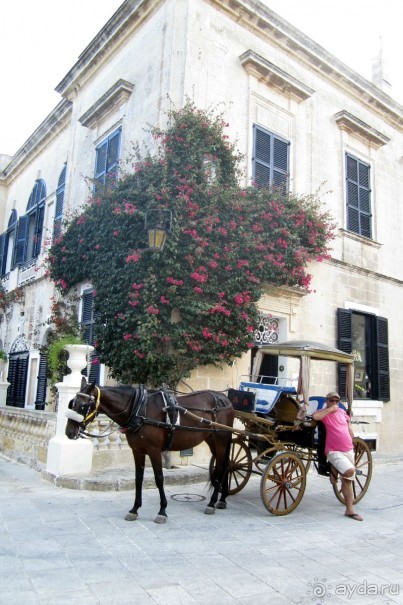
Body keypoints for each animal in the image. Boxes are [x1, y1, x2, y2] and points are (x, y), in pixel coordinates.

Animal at [65, 378, 237, 524]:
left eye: (83, 406)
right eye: (72, 404)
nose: (69, 432)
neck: (139, 409)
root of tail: (225, 399)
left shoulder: (154, 451)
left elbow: (159, 478)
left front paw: (162, 511)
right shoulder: (137, 451)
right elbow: (138, 479)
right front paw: (134, 509)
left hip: (221, 439)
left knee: (220, 467)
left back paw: (212, 502)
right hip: (211, 439)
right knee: (225, 464)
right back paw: (222, 499)